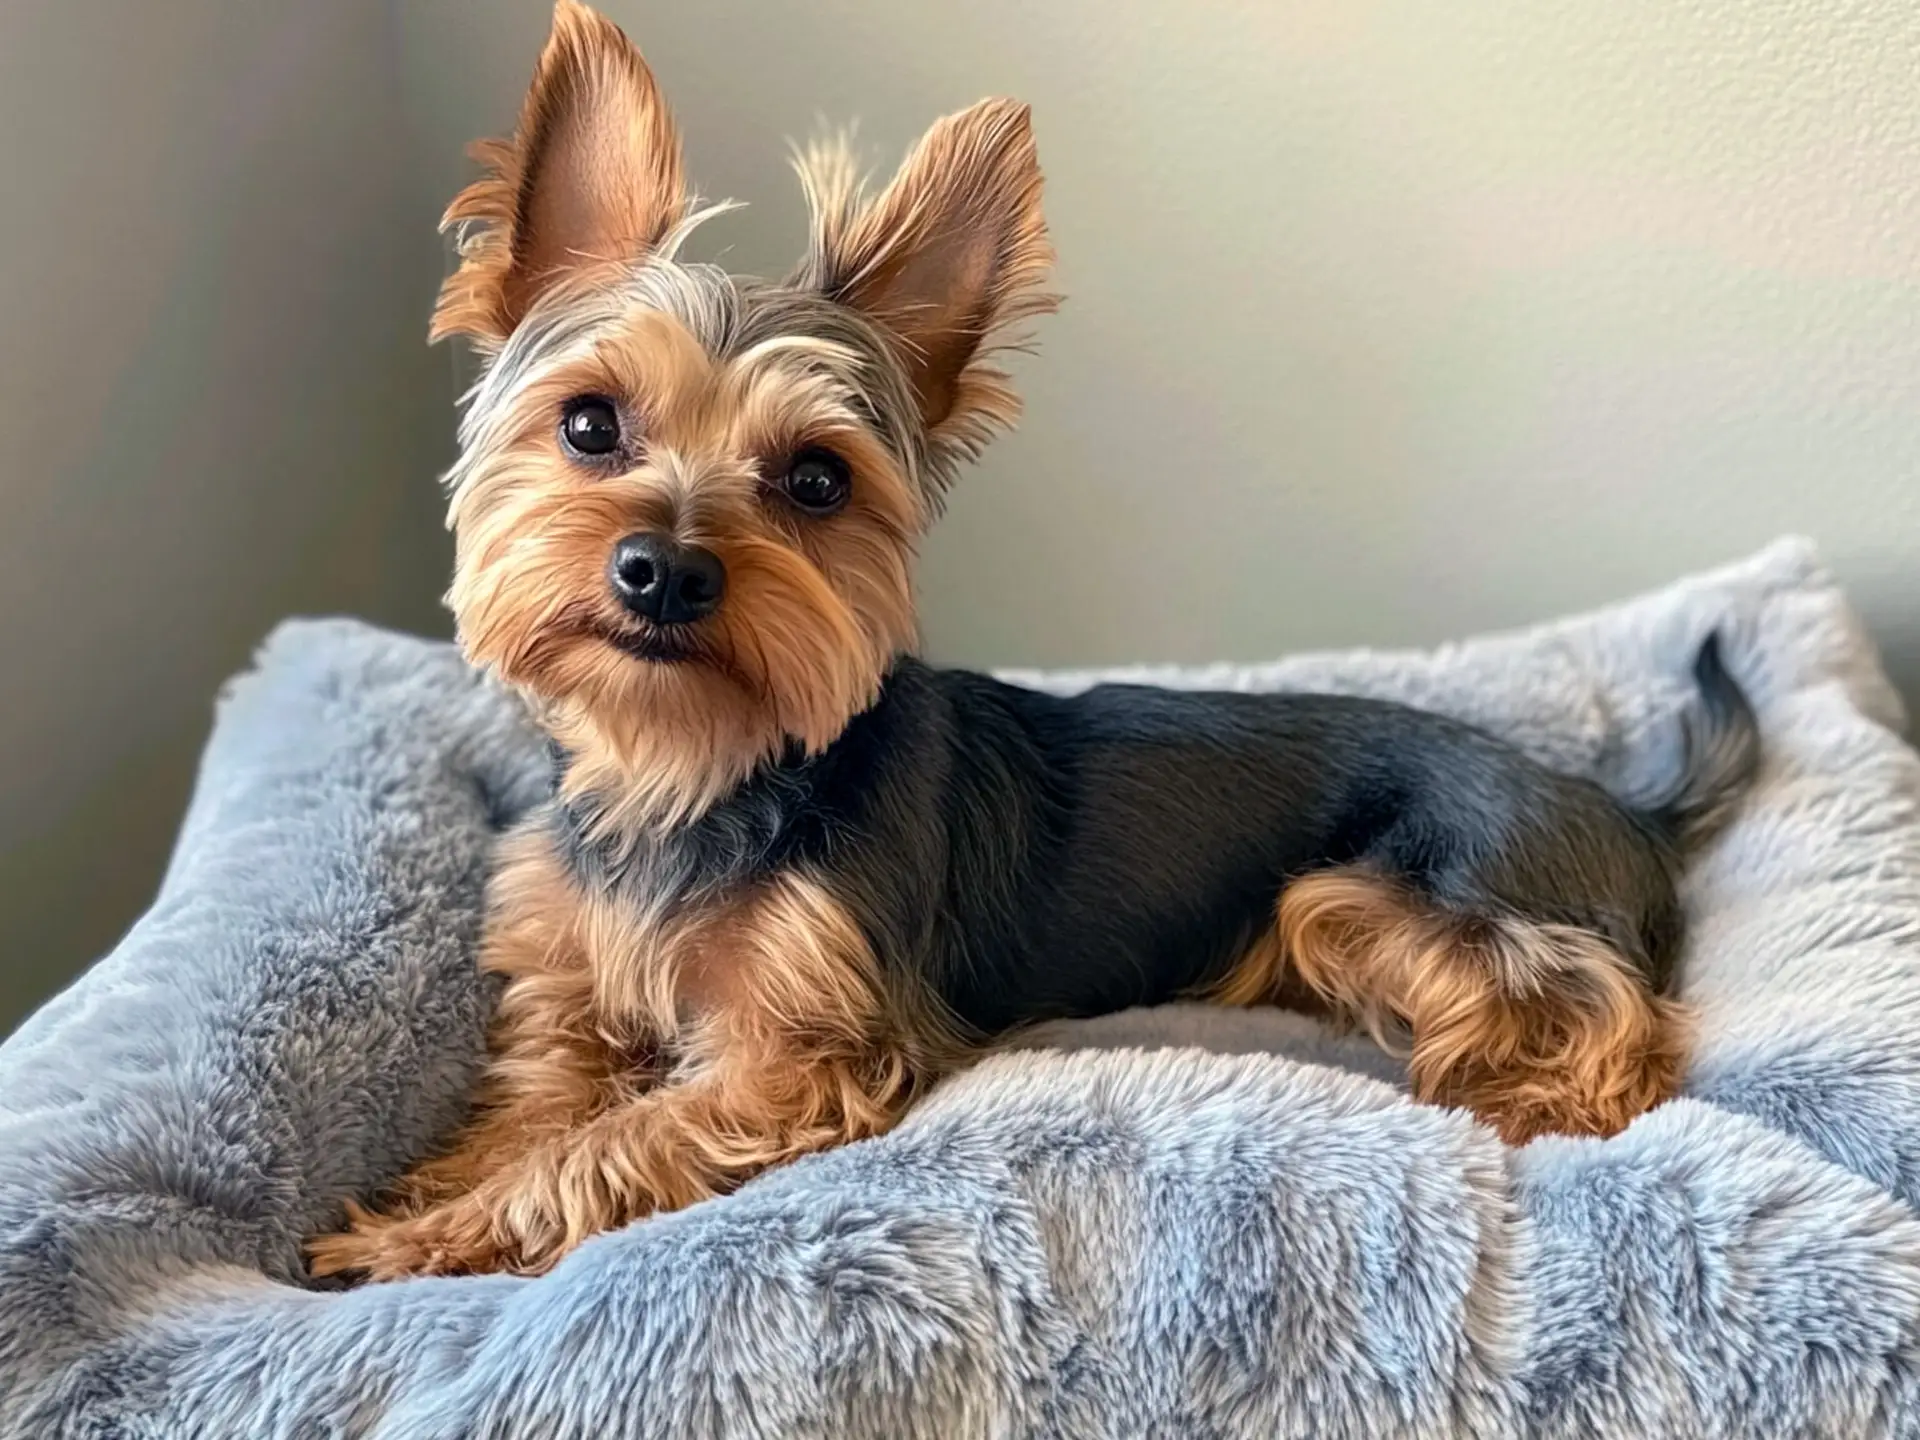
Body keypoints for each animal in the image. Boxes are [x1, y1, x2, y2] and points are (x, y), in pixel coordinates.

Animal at [307, 0, 1758, 1282]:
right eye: (591, 424)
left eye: (816, 481)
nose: (664, 570)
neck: (687, 767)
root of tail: (1623, 808)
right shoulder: (570, 987)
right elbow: (535, 1106)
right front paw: (427, 1193)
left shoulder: (805, 1056)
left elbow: (605, 1148)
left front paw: (421, 1239)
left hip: (1398, 895)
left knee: (1635, 1040)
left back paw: (1527, 1098)